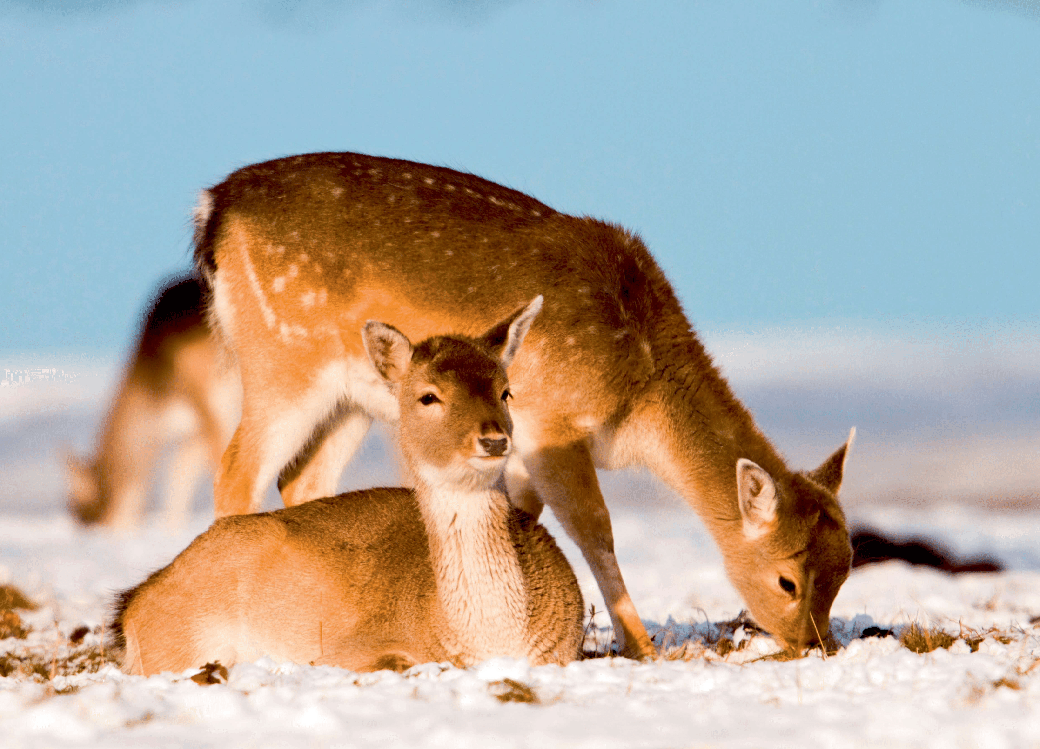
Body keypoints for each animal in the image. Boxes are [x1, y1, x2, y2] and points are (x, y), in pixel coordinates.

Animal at [114, 299, 590, 678]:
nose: (493, 440)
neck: (492, 638)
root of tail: (134, 602)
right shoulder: (350, 650)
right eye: (428, 396)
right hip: (181, 639)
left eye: (506, 391)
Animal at [193, 150, 852, 657]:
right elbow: (596, 529)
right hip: (282, 361)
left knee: (301, 479)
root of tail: (213, 209)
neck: (636, 405)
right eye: (786, 580)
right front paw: (643, 647)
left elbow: (522, 518)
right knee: (236, 470)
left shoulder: (522, 447)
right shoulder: (555, 424)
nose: (815, 645)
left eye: (845, 570)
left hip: (351, 398)